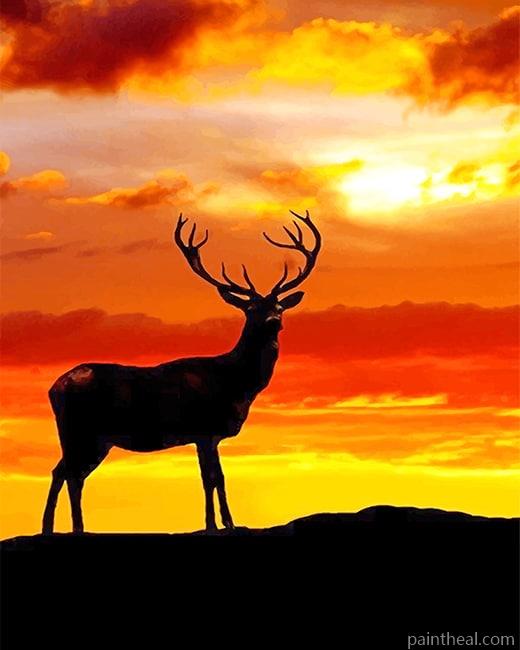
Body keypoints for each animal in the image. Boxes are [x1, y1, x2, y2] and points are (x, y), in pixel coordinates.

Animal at [42, 210, 321, 534]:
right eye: (250, 309)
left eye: (279, 306)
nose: (274, 322)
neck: (235, 384)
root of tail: (54, 388)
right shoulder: (204, 429)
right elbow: (211, 478)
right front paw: (218, 524)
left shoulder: (209, 435)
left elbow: (215, 478)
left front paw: (223, 522)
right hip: (82, 430)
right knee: (70, 474)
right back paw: (74, 528)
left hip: (92, 437)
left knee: (64, 472)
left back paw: (55, 527)